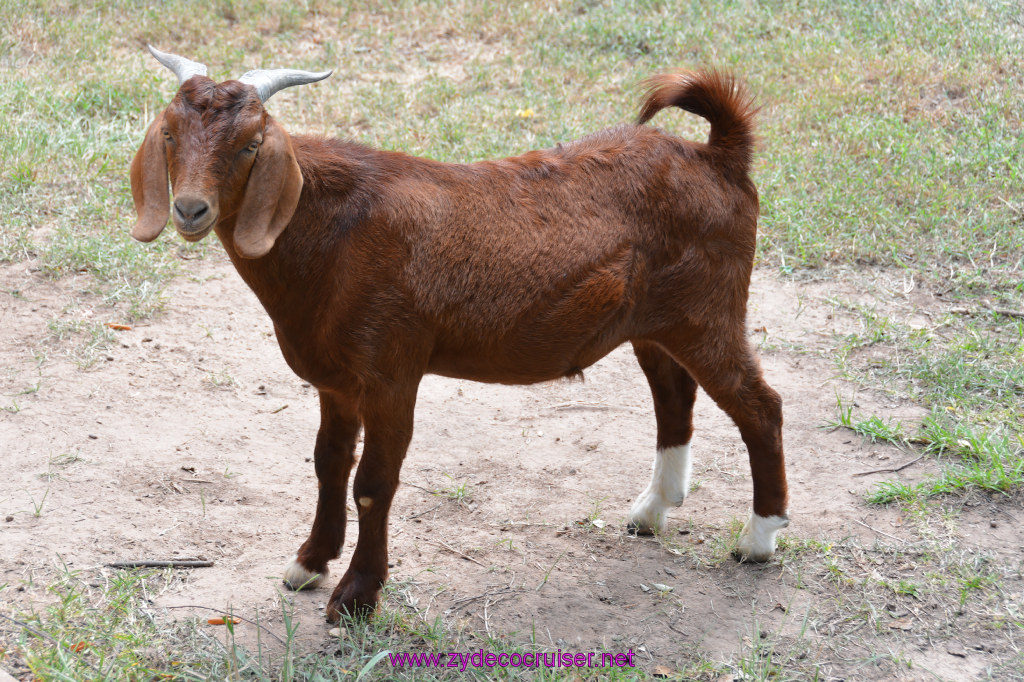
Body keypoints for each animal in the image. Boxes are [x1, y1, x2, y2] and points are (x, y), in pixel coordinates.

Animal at [132, 46, 786, 622]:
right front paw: (310, 564)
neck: (332, 229)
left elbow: (373, 482)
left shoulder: (392, 371)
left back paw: (759, 537)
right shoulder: (336, 381)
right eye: (169, 136)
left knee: (761, 407)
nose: (190, 210)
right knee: (675, 395)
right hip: (655, 325)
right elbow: (329, 463)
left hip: (709, 313)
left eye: (249, 145)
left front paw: (356, 598)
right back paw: (651, 511)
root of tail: (720, 156)